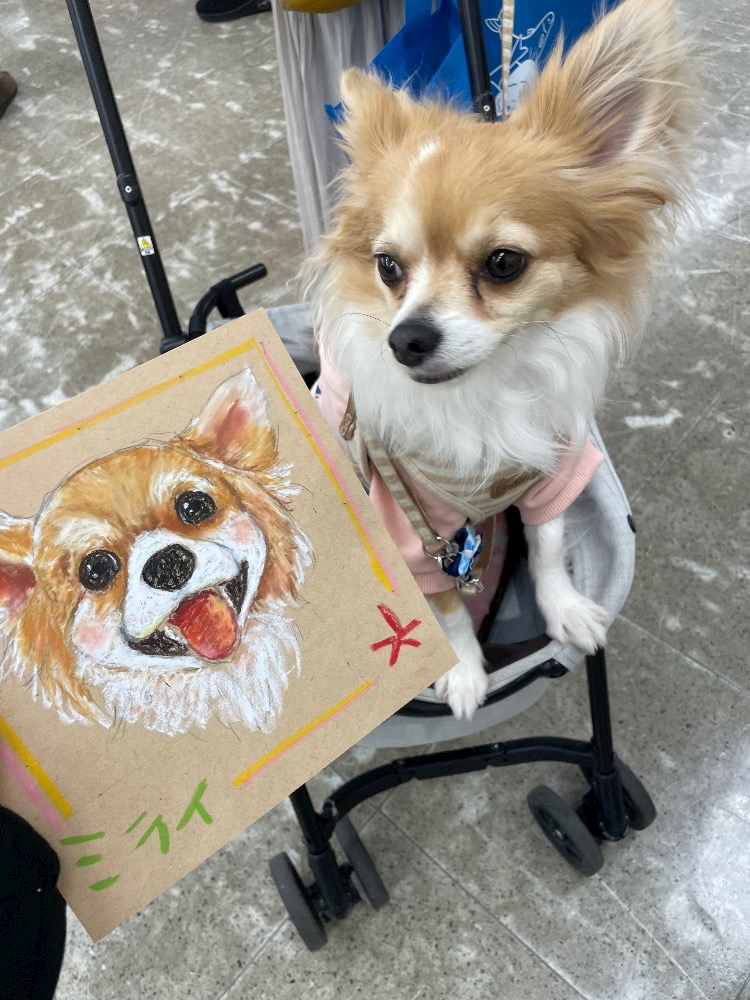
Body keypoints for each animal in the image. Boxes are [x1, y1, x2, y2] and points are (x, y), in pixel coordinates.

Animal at [310, 0, 695, 718]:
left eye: (504, 263)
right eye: (388, 267)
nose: (405, 338)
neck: (485, 395)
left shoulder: (553, 470)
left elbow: (546, 543)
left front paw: (565, 608)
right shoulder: (411, 533)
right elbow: (445, 608)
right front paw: (462, 671)